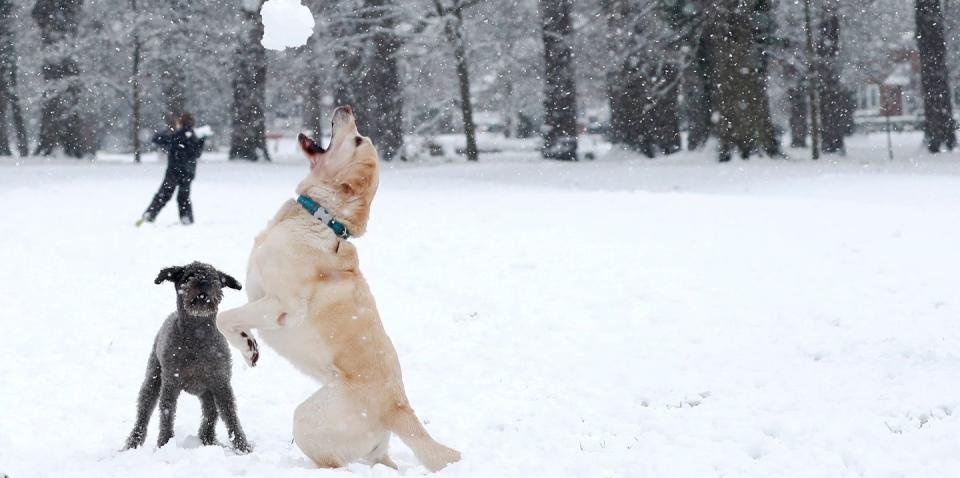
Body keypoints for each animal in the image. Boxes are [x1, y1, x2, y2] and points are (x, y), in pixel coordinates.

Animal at [124, 262, 251, 452]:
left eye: (214, 278)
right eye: (189, 276)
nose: (203, 283)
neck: (197, 336)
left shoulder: (221, 383)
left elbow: (230, 415)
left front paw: (243, 447)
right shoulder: (171, 383)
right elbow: (167, 414)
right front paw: (164, 444)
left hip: (207, 392)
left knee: (210, 413)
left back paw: (209, 440)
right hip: (153, 378)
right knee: (144, 412)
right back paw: (133, 442)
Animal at [217, 106, 462, 472]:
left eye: (358, 139)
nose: (345, 108)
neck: (321, 217)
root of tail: (399, 408)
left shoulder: (281, 306)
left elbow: (223, 317)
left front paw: (248, 348)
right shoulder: (258, 297)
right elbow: (231, 317)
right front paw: (247, 344)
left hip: (309, 419)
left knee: (336, 464)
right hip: (368, 446)